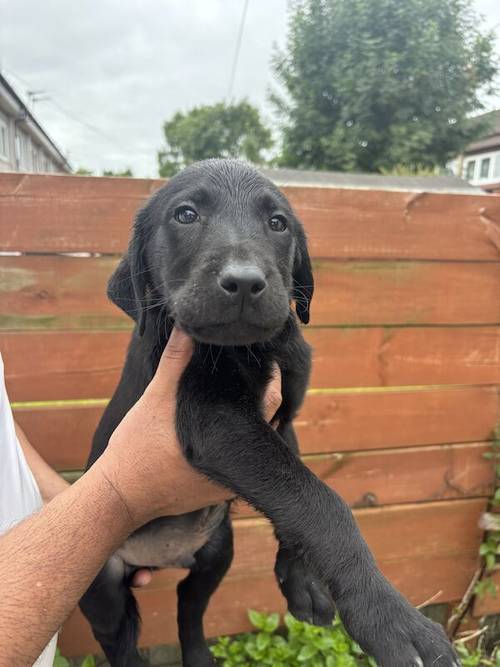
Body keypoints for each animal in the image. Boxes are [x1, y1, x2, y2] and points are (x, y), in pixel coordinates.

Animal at [80, 160, 458, 667]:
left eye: (278, 223)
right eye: (185, 215)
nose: (244, 282)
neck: (255, 347)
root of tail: (159, 558)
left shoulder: (284, 418)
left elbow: (297, 490)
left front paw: (302, 582)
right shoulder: (218, 420)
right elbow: (321, 503)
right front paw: (391, 620)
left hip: (217, 551)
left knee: (188, 607)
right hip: (101, 585)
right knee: (119, 639)